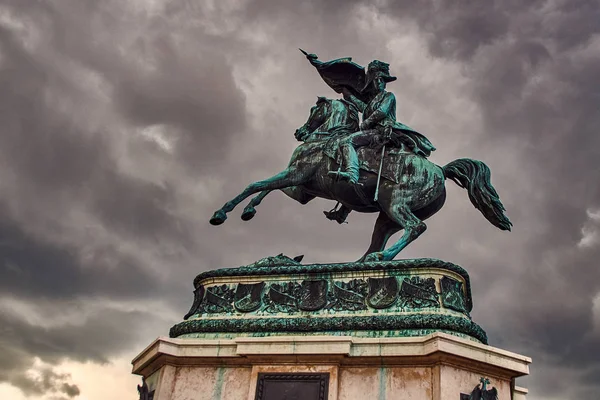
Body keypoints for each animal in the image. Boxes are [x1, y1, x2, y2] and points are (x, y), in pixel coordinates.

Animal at [211, 95, 510, 260]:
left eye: (313, 110)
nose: (299, 132)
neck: (327, 137)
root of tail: (440, 171)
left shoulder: (296, 174)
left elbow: (256, 183)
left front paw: (222, 213)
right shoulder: (302, 188)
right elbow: (266, 188)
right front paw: (248, 210)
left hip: (395, 204)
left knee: (416, 228)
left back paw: (381, 257)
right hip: (386, 218)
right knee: (381, 241)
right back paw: (363, 264)